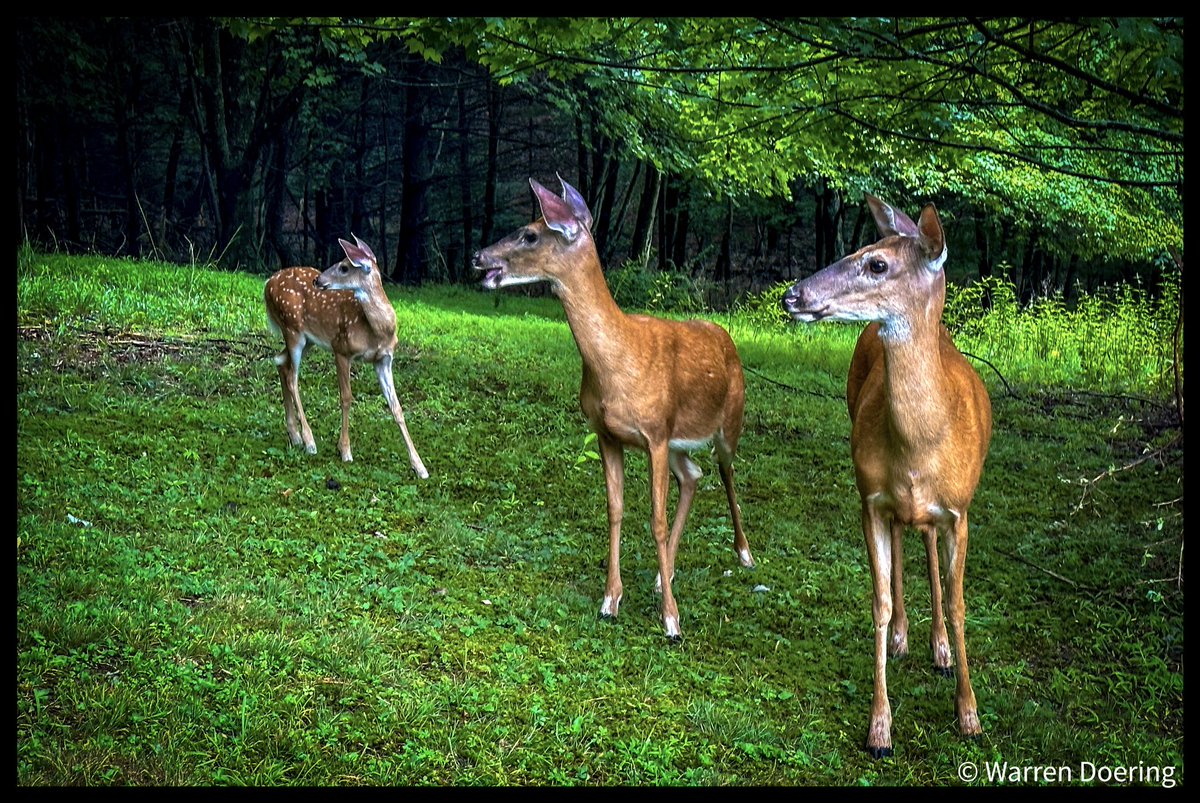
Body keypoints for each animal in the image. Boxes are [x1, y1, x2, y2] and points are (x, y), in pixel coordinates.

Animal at [263, 234, 429, 479]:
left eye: (344, 267)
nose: (318, 280)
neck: (376, 331)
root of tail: (267, 284)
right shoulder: (341, 348)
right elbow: (346, 398)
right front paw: (345, 450)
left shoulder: (383, 359)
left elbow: (396, 407)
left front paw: (419, 466)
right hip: (293, 330)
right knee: (293, 378)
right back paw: (309, 441)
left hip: (307, 339)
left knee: (281, 364)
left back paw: (294, 436)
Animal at [472, 174, 755, 641]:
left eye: (530, 233)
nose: (478, 256)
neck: (617, 362)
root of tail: (725, 337)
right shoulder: (608, 433)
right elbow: (615, 510)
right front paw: (610, 600)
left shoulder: (655, 434)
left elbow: (656, 520)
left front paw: (671, 620)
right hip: (679, 442)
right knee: (693, 476)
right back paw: (664, 573)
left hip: (728, 422)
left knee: (727, 474)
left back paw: (744, 554)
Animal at [782, 195, 992, 758]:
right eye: (857, 249)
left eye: (877, 264)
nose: (793, 295)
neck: (922, 446)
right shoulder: (869, 499)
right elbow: (876, 601)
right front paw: (880, 728)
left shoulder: (960, 510)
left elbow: (960, 604)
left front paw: (969, 714)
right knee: (905, 534)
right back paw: (903, 636)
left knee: (927, 545)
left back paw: (938, 649)